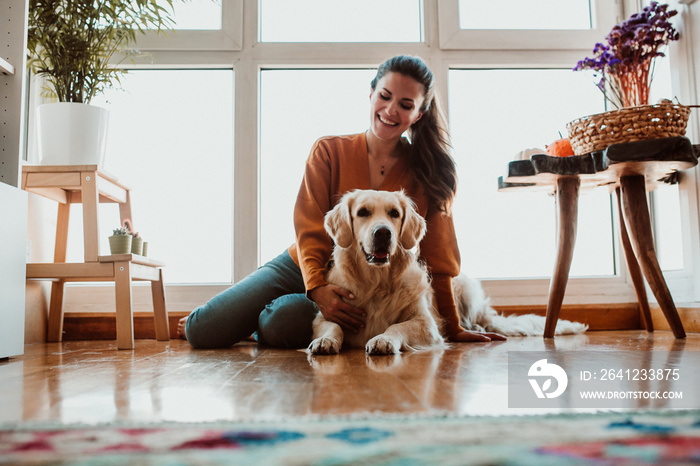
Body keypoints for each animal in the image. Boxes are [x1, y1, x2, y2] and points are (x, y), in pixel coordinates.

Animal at [308, 191, 588, 354]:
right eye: (362, 212)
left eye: (394, 213)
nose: (383, 233)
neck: (376, 282)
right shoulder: (327, 314)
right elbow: (333, 326)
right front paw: (325, 341)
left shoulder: (426, 323)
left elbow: (396, 327)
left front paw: (383, 340)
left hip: (464, 286)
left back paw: (474, 325)